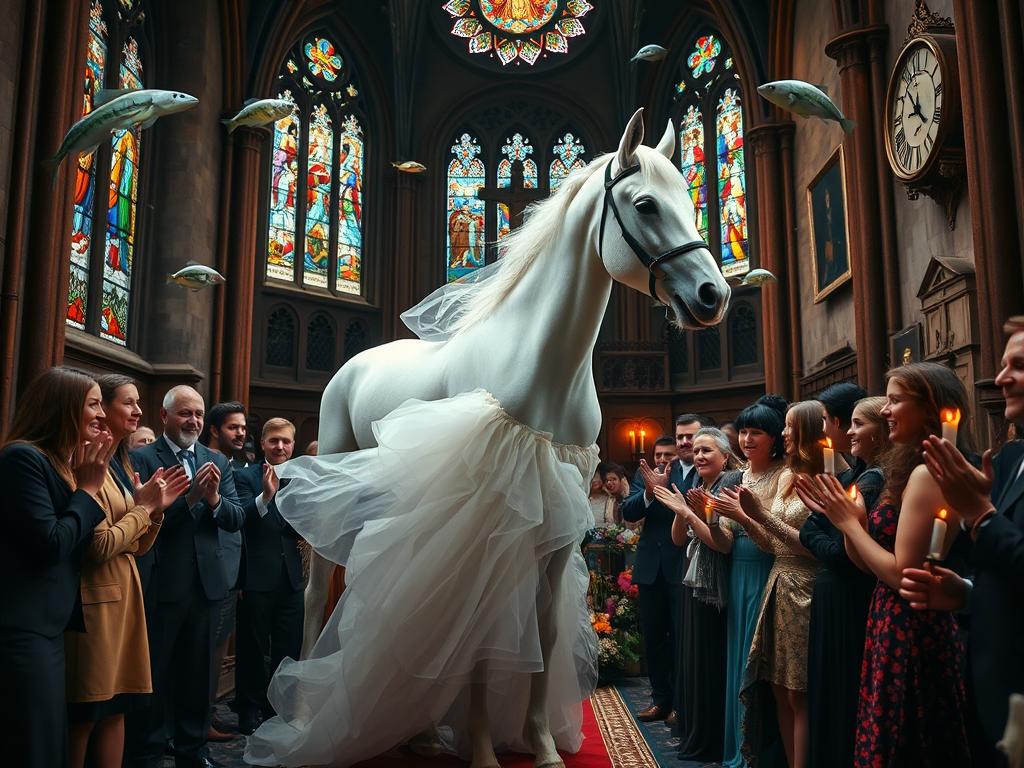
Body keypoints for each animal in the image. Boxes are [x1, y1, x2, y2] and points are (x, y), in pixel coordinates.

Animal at [292, 109, 733, 768]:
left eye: (689, 196)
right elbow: (480, 632)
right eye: (647, 204)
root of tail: (354, 367)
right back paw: (302, 714)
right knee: (320, 588)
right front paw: (480, 748)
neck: (538, 363)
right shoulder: (489, 521)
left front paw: (541, 742)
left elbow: (541, 633)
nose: (714, 296)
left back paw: (419, 731)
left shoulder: (556, 531)